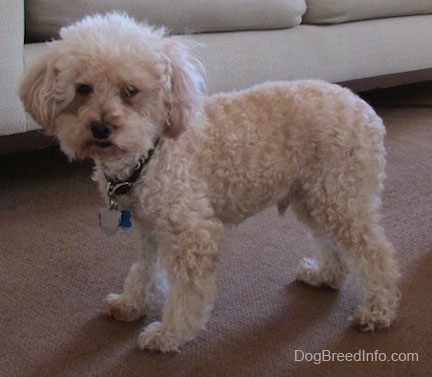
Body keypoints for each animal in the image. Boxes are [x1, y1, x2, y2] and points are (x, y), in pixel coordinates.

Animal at [18, 12, 400, 352]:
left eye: (130, 91)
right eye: (83, 88)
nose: (100, 129)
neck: (150, 154)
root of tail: (364, 107)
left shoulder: (192, 234)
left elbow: (187, 294)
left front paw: (170, 334)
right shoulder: (149, 226)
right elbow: (144, 268)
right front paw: (131, 303)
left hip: (340, 196)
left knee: (376, 253)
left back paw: (378, 310)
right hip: (314, 197)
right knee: (331, 243)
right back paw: (325, 275)